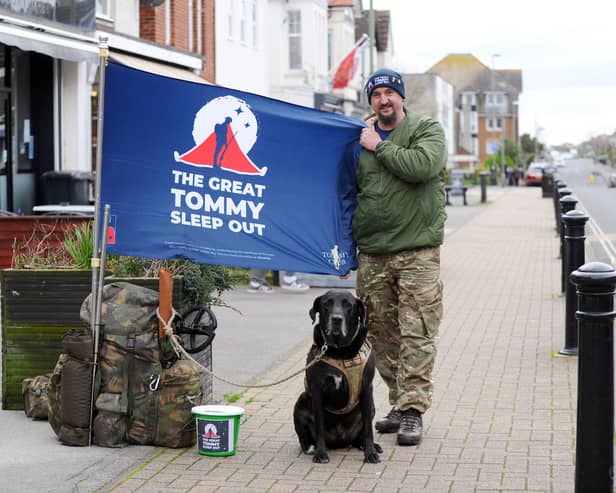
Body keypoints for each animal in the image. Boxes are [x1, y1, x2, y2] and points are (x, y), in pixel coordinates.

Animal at [292, 288, 380, 462]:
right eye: (327, 304)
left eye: (348, 305)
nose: (337, 319)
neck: (340, 351)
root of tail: (340, 441)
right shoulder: (317, 390)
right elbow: (319, 426)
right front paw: (320, 453)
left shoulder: (367, 388)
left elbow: (368, 428)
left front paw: (370, 453)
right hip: (301, 402)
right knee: (304, 435)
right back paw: (310, 447)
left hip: (371, 405)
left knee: (361, 434)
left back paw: (367, 445)